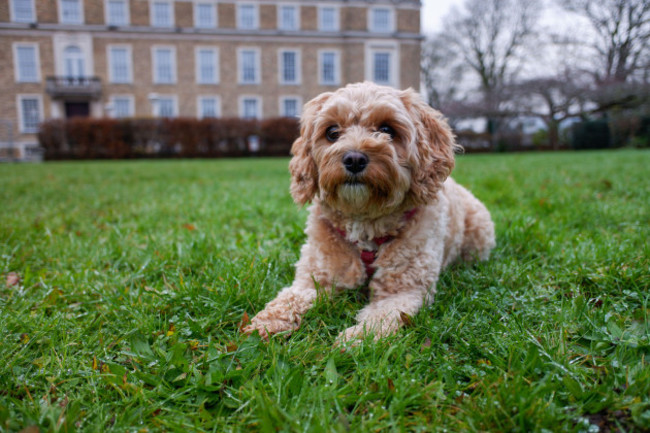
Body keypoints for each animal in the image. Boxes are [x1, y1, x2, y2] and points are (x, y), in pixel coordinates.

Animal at [242, 82, 492, 340]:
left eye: (387, 129)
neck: (364, 221)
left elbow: (380, 317)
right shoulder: (316, 275)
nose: (354, 159)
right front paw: (268, 322)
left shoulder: (405, 288)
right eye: (332, 132)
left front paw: (357, 338)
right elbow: (291, 297)